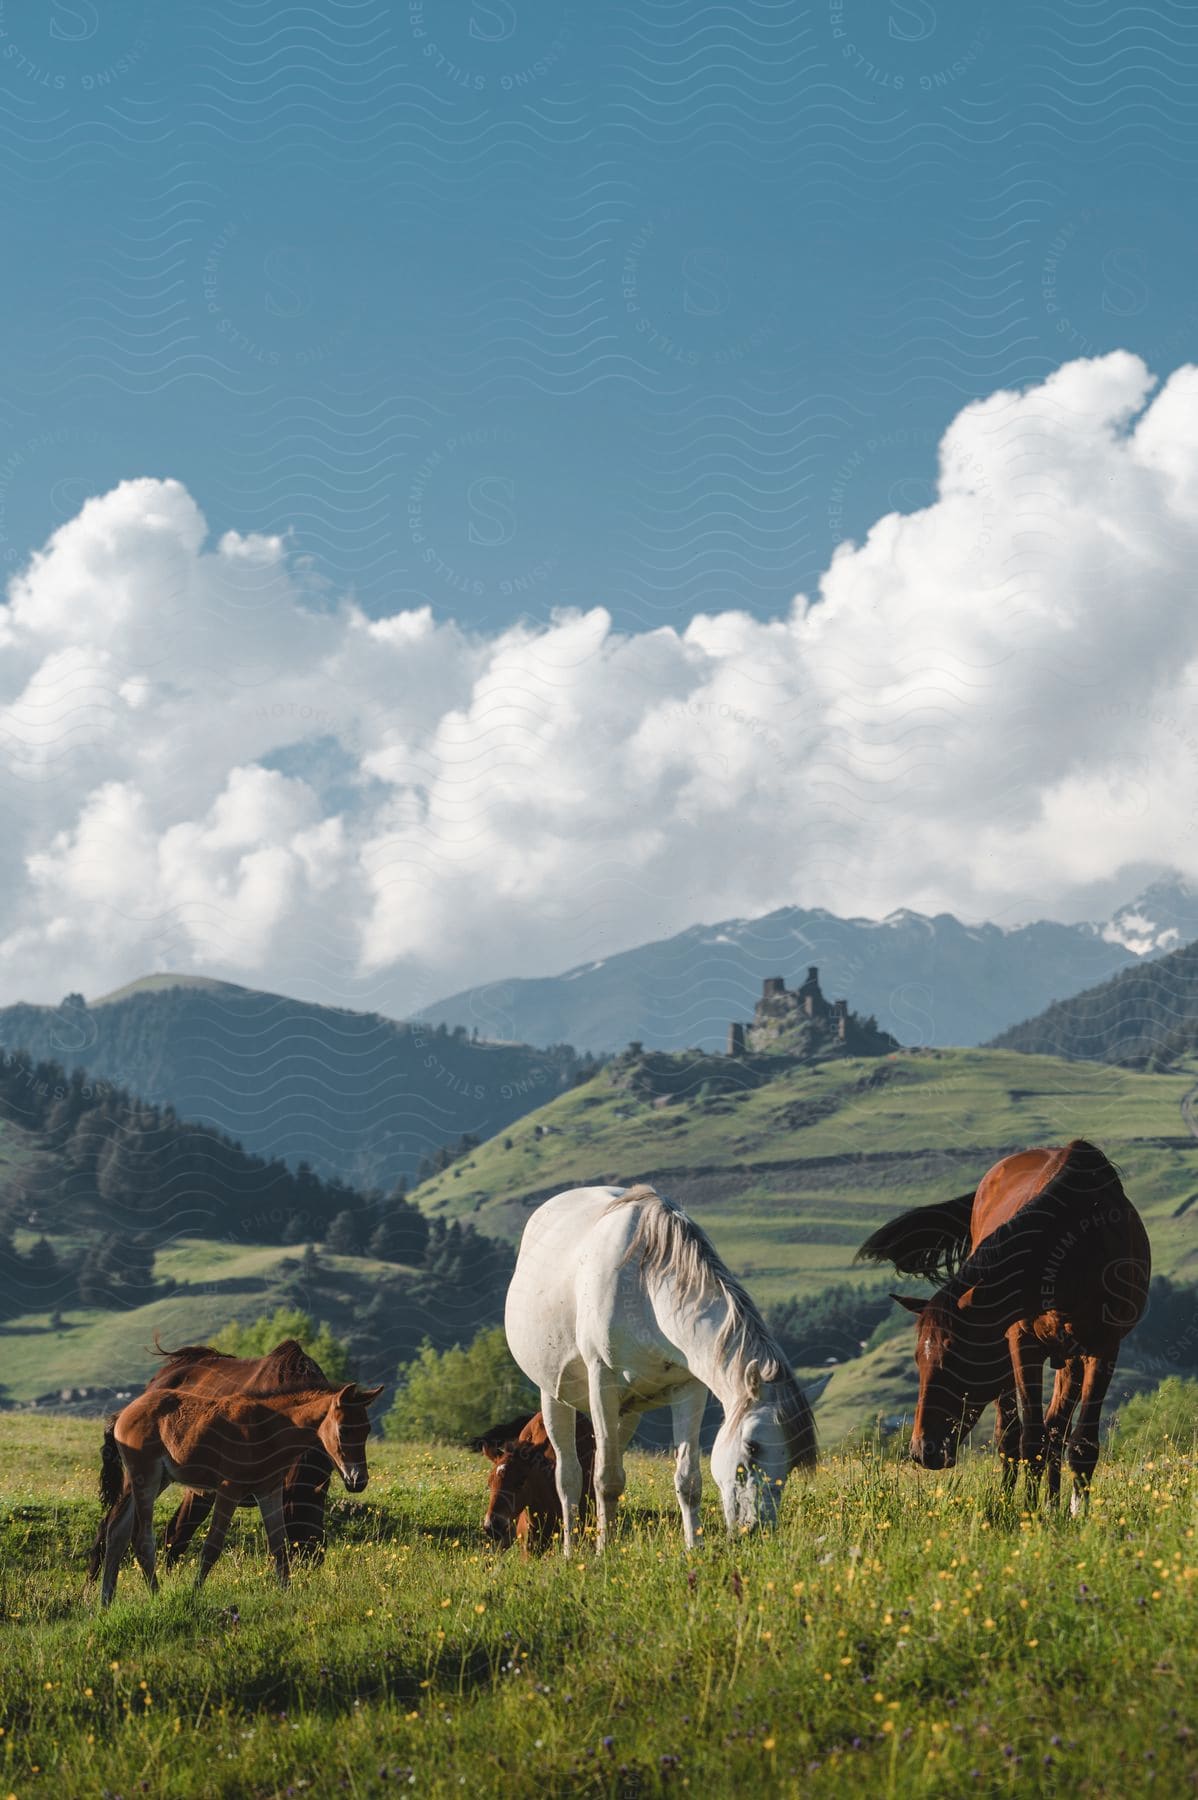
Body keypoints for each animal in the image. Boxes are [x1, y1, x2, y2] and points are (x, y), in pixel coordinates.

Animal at [500, 1180, 816, 1548]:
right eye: (753, 1446)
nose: (757, 1530)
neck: (647, 1290)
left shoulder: (689, 1389)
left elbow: (687, 1481)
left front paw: (694, 1547)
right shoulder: (602, 1381)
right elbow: (605, 1480)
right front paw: (603, 1552)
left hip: (626, 1414)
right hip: (554, 1397)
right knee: (570, 1477)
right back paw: (571, 1548)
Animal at [852, 1137, 1144, 1504]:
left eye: (955, 1359)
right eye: (918, 1359)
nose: (923, 1450)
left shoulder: (1103, 1347)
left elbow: (1081, 1446)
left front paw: (1070, 1511)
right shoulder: (1021, 1343)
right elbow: (1028, 1440)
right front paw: (1027, 1512)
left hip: (1069, 1358)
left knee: (1056, 1430)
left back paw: (1054, 1505)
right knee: (1012, 1434)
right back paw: (1008, 1503)